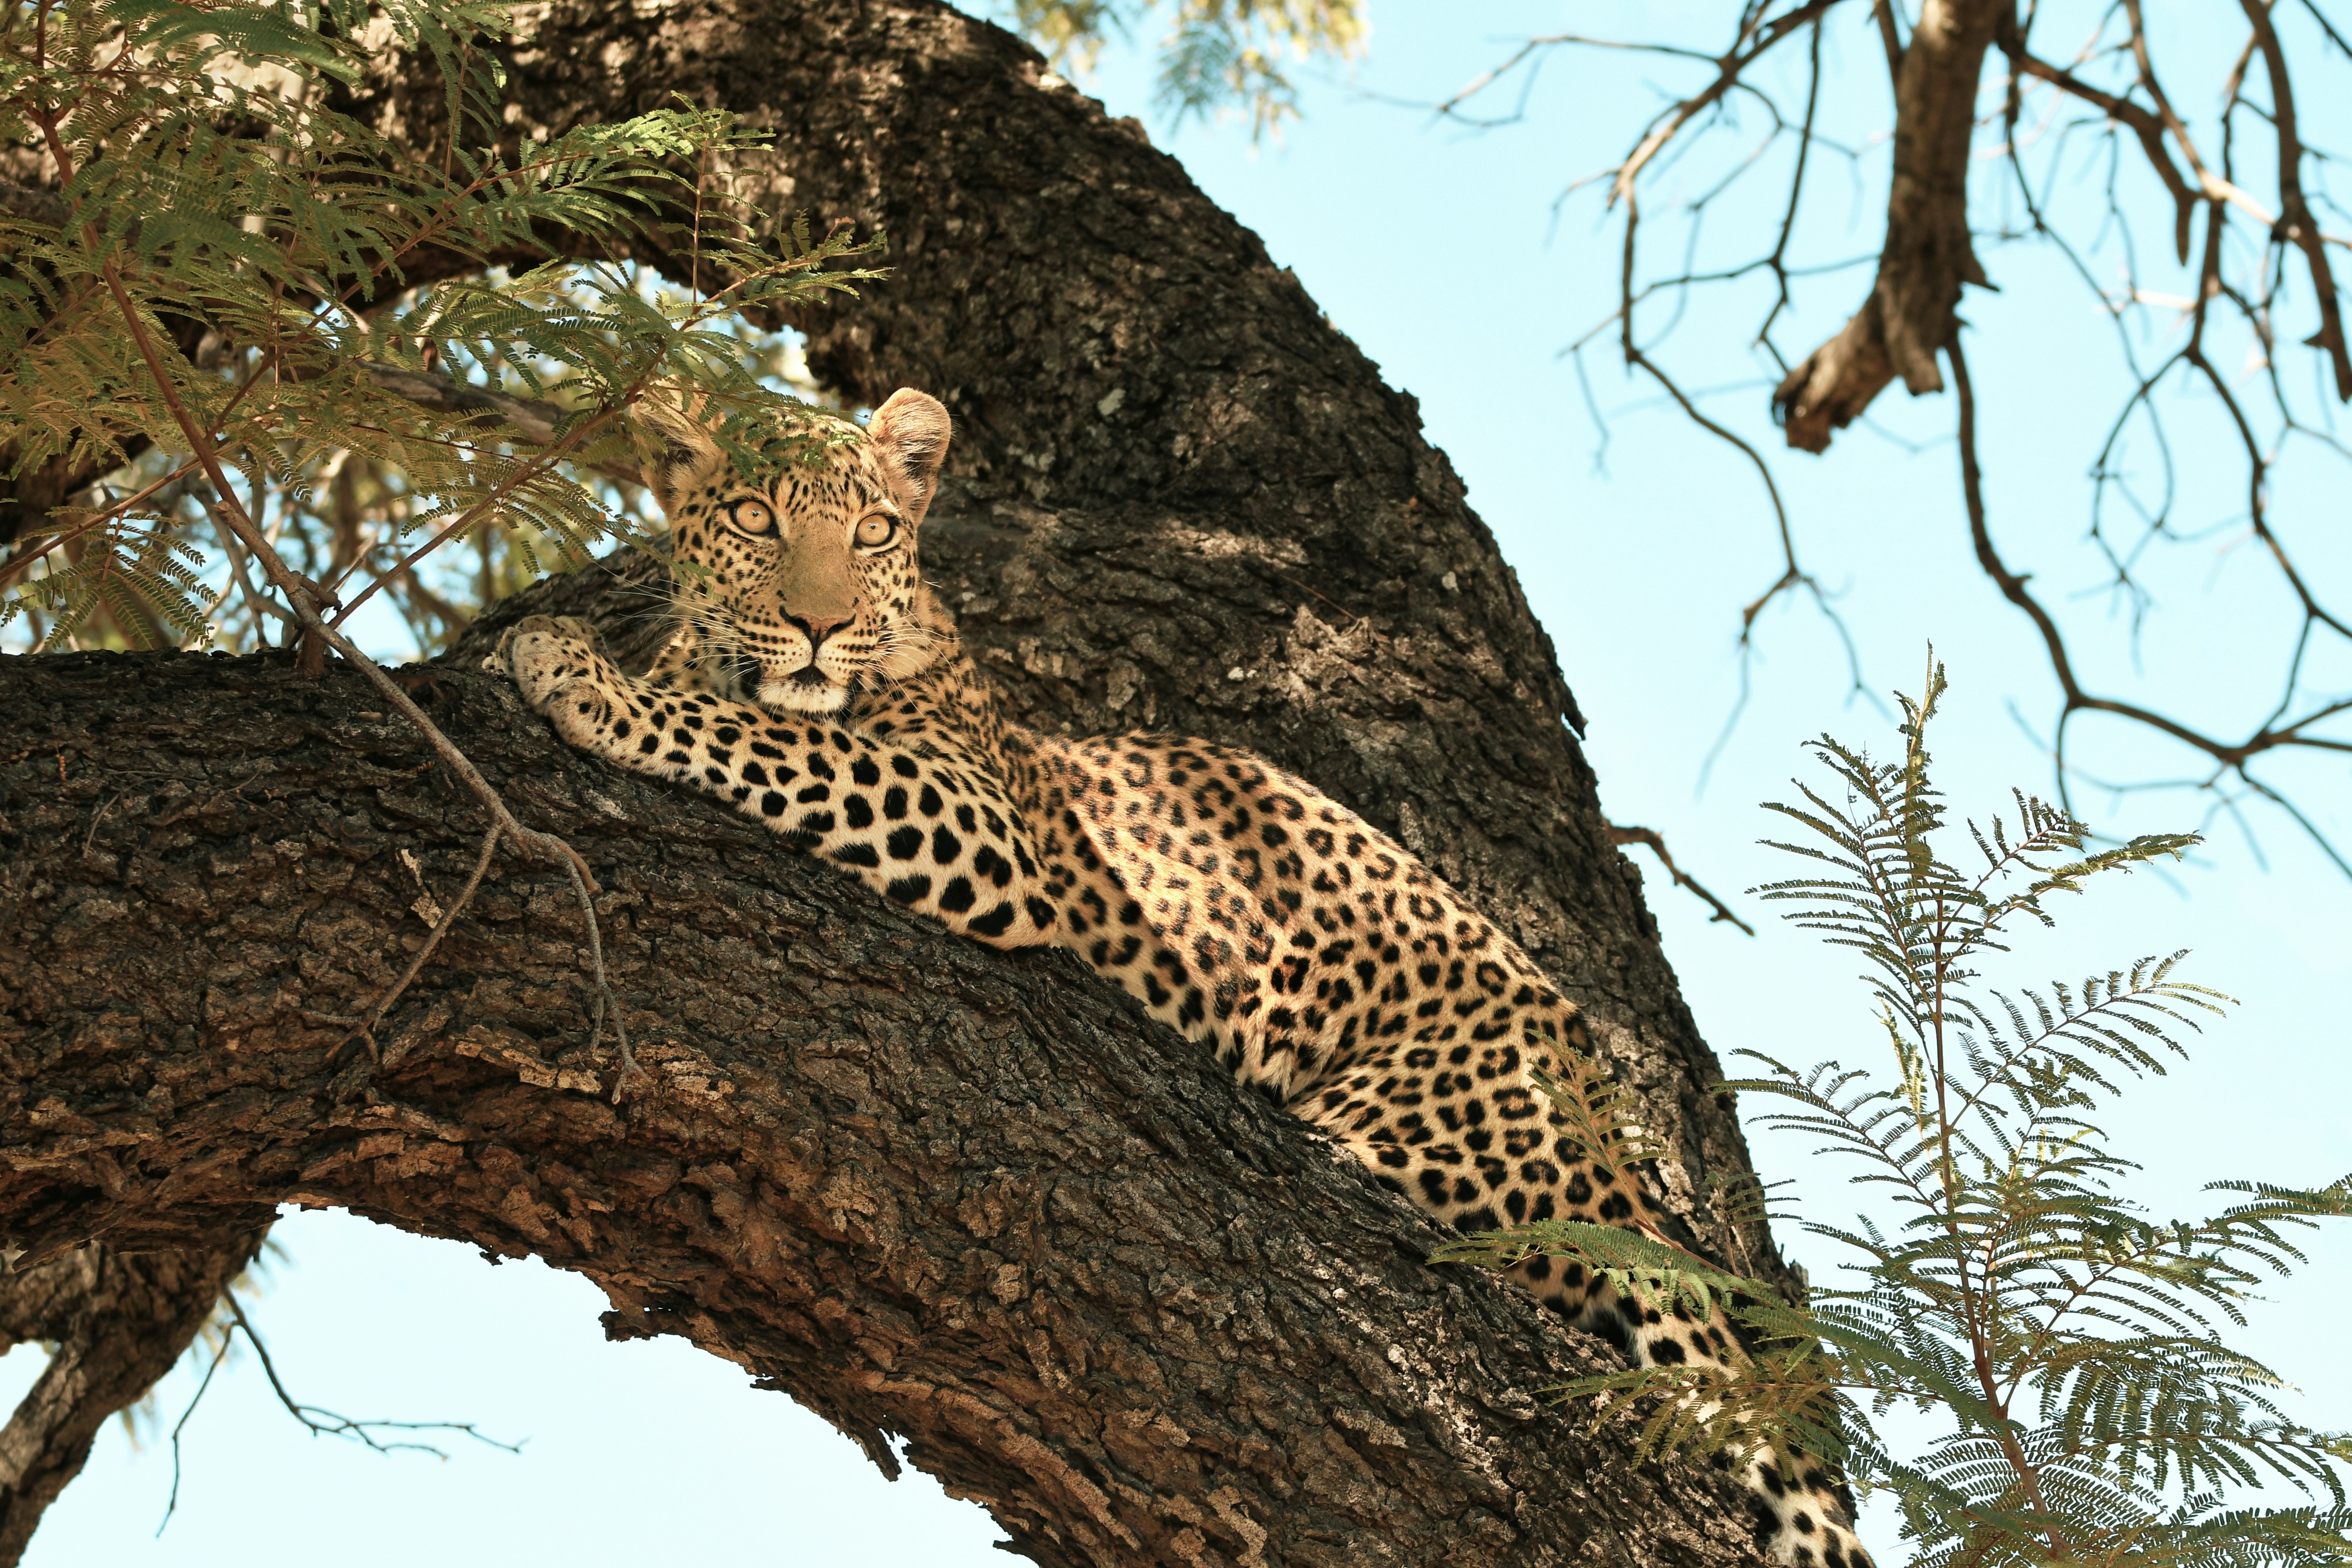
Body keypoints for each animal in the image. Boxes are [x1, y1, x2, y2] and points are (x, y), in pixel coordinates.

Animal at [491, 387, 1872, 1567]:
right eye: (754, 520)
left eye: (873, 529)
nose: (823, 625)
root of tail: (1586, 1069)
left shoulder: (975, 819)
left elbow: (763, 736)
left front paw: (581, 672)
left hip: (1444, 1140)